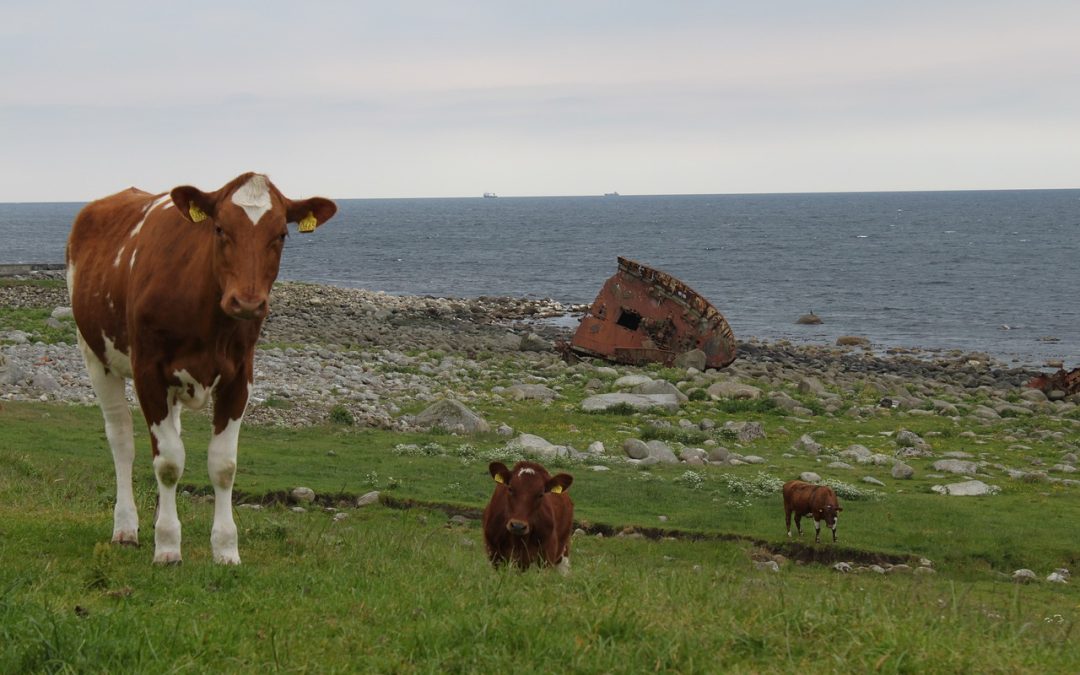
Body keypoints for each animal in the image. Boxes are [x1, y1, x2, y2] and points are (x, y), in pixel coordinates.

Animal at [65, 170, 334, 561]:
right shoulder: (148, 371)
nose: (247, 302)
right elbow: (168, 462)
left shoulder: (240, 377)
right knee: (122, 439)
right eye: (219, 228)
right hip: (94, 353)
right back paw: (126, 528)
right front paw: (167, 546)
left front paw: (225, 549)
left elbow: (222, 465)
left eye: (281, 234)